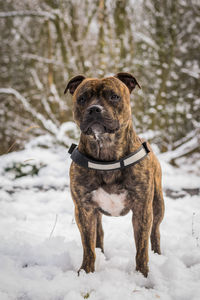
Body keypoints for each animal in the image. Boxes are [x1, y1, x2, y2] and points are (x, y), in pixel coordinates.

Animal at [65, 72, 165, 276]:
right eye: (82, 98)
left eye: (114, 96)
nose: (94, 109)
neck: (106, 153)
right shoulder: (84, 209)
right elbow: (88, 245)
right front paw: (86, 272)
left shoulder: (142, 209)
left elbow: (141, 248)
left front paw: (142, 275)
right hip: (96, 213)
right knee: (99, 235)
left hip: (158, 204)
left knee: (155, 232)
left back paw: (158, 254)